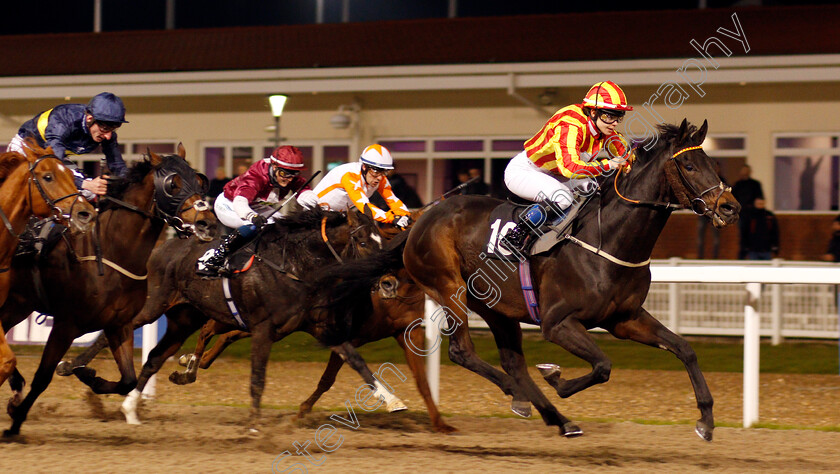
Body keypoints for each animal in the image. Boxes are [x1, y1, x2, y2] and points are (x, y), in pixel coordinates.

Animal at [400, 119, 736, 440]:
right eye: (689, 165)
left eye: (713, 164)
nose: (731, 207)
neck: (607, 239)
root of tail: (423, 217)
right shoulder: (557, 323)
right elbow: (602, 366)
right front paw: (555, 376)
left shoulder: (625, 319)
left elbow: (684, 349)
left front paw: (706, 421)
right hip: (450, 288)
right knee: (462, 351)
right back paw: (518, 394)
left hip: (496, 308)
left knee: (513, 363)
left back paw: (556, 418)